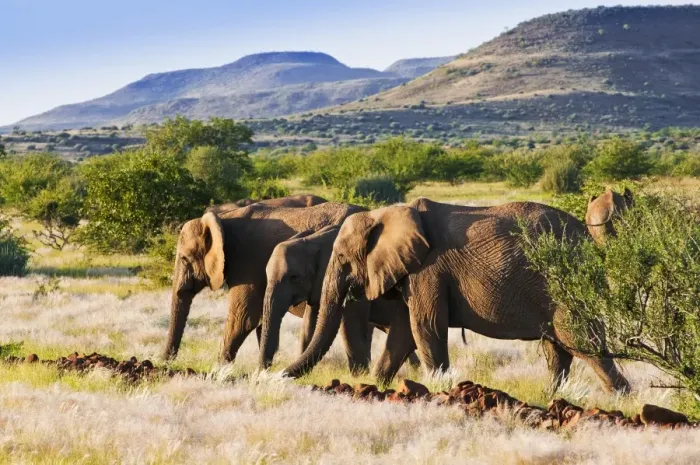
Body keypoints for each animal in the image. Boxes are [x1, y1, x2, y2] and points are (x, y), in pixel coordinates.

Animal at [162, 201, 369, 366]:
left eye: (184, 259)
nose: (165, 364)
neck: (222, 220)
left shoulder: (248, 263)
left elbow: (244, 318)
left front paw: (220, 370)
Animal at [260, 225, 419, 378]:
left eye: (294, 278)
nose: (268, 372)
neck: (313, 241)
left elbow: (351, 324)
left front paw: (359, 377)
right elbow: (309, 325)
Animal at [284, 198, 630, 392]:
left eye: (342, 258)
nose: (278, 375)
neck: (385, 214)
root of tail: (589, 241)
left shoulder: (429, 269)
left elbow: (425, 329)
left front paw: (440, 389)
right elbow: (404, 333)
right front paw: (375, 385)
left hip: (565, 284)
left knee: (579, 340)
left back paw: (621, 397)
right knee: (557, 349)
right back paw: (553, 397)